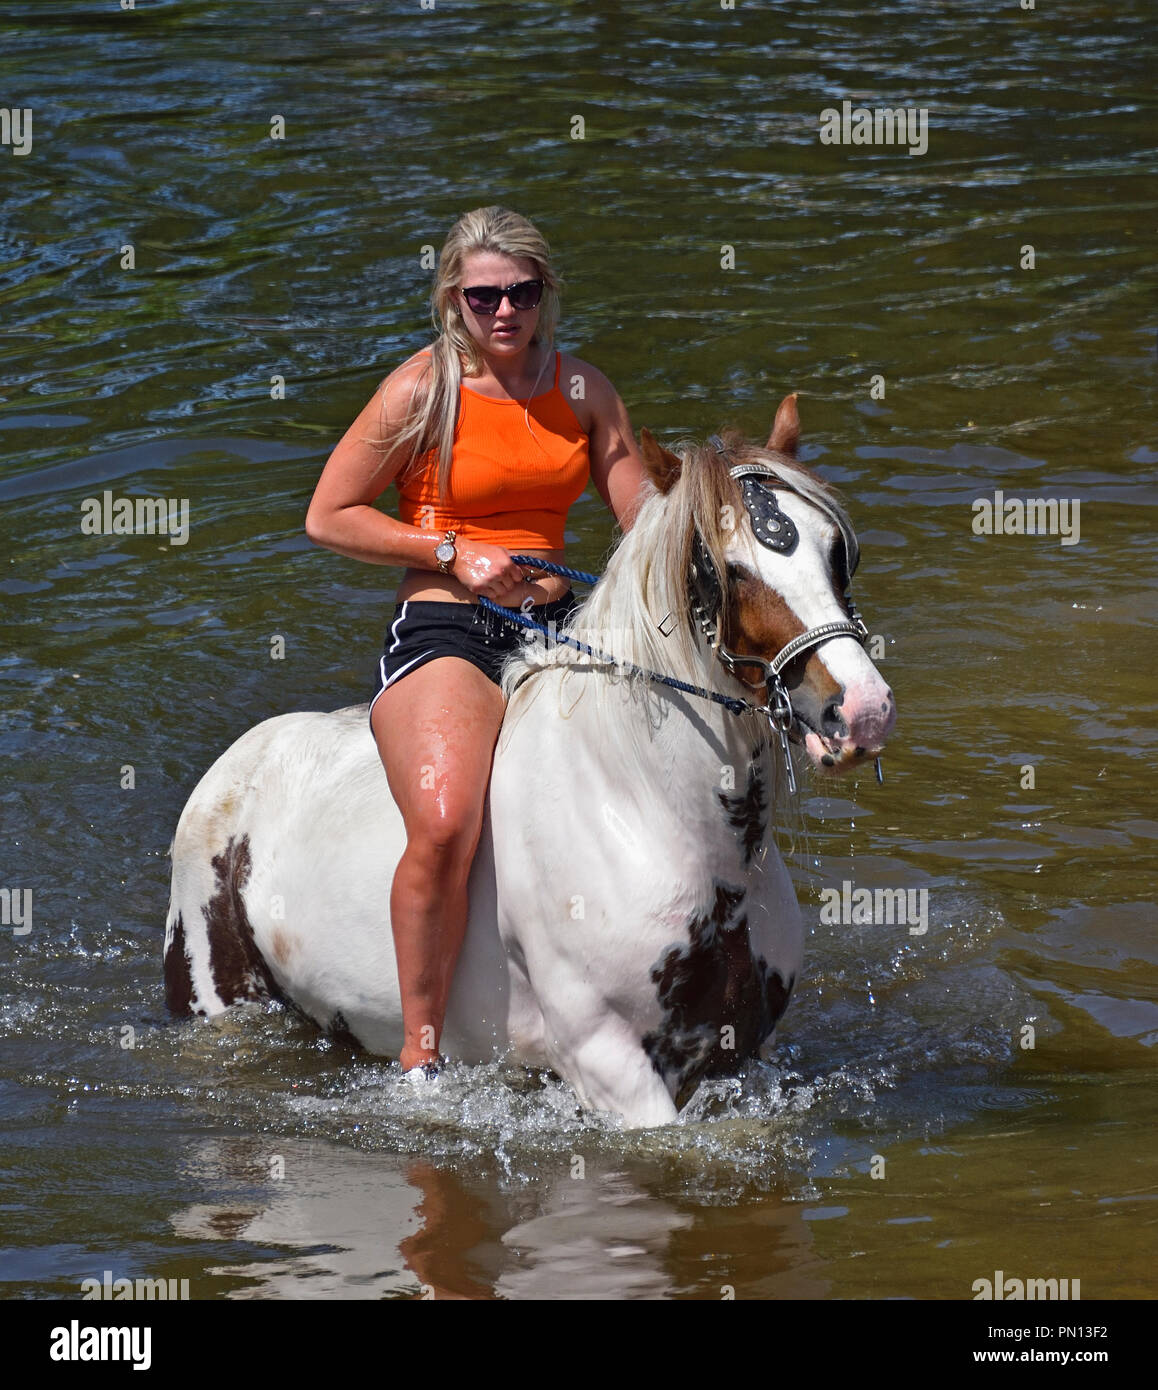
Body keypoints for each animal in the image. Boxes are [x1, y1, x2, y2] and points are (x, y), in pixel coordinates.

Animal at [162, 400, 889, 1128]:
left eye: (835, 551)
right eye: (726, 568)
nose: (861, 711)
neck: (648, 814)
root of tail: (237, 764)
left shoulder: (742, 1046)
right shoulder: (608, 1062)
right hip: (214, 996)